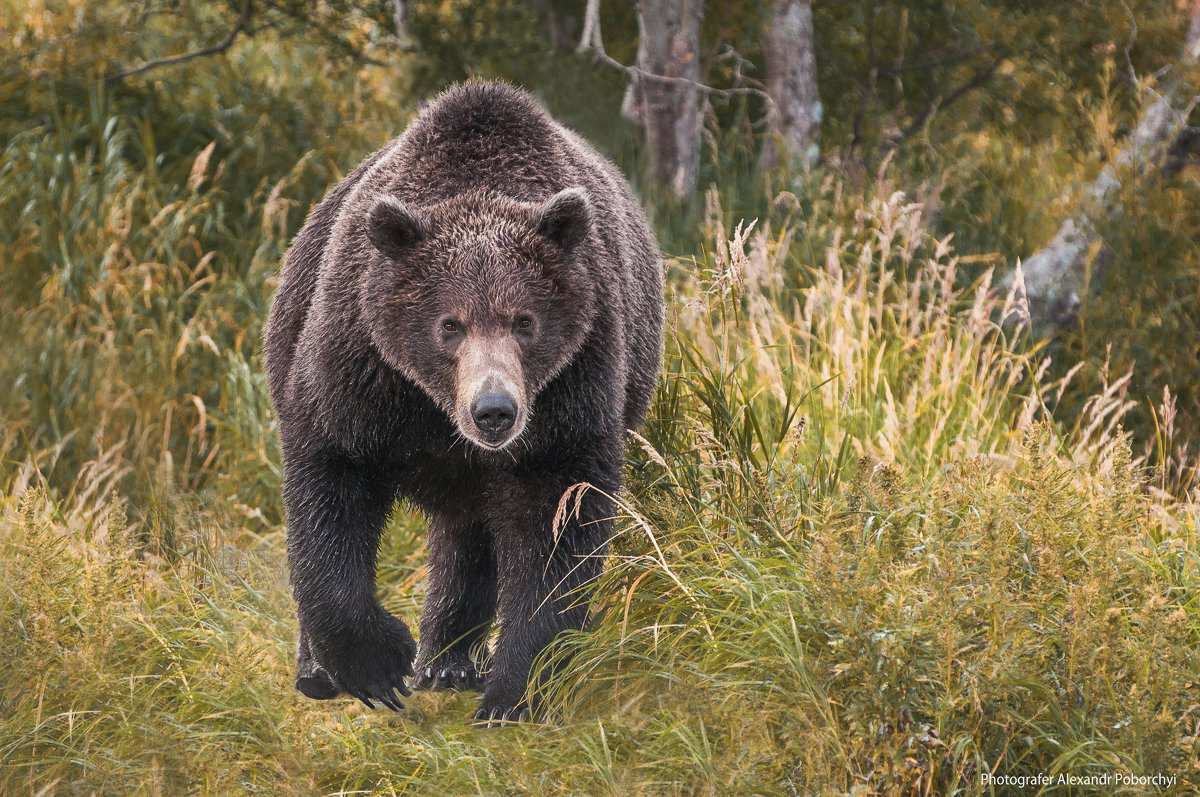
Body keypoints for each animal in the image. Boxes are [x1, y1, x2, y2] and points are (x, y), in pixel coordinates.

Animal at [261, 79, 667, 720]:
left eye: (524, 321)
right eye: (449, 325)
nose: (494, 410)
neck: (437, 411)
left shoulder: (573, 387)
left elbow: (554, 525)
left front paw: (516, 689)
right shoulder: (361, 372)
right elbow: (331, 488)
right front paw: (376, 665)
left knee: (468, 536)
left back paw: (448, 661)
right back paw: (325, 672)